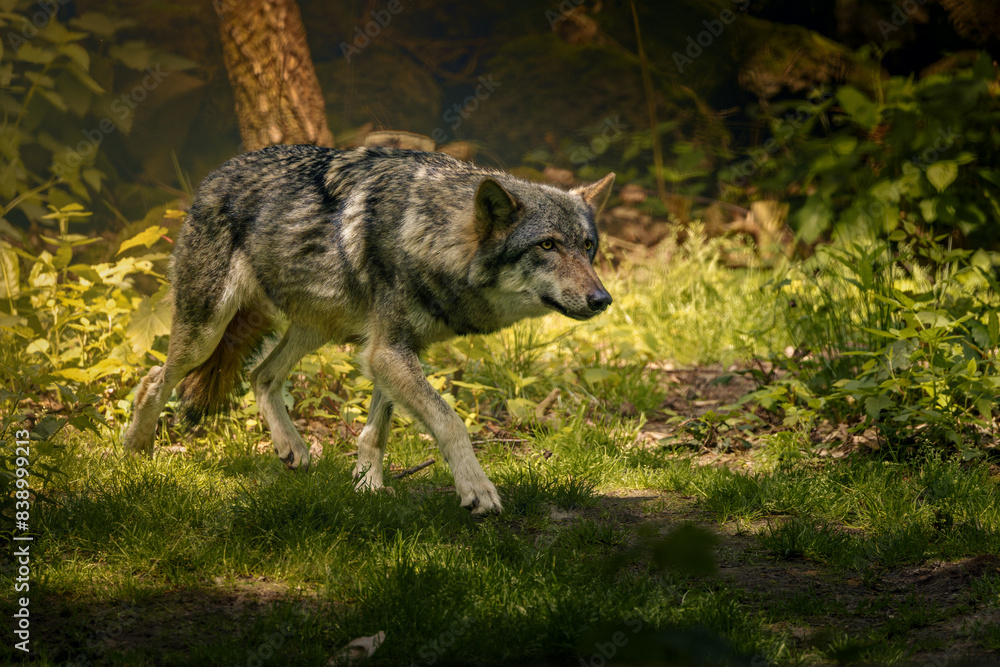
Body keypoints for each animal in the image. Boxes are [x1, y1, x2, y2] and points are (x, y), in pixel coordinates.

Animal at [123, 145, 615, 514]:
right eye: (547, 245)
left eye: (588, 246)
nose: (602, 300)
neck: (430, 233)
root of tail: (216, 172)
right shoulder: (387, 351)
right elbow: (450, 421)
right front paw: (477, 490)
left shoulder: (390, 350)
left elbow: (375, 432)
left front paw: (368, 487)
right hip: (205, 333)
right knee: (153, 381)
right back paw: (135, 452)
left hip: (314, 328)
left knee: (260, 374)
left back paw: (292, 447)